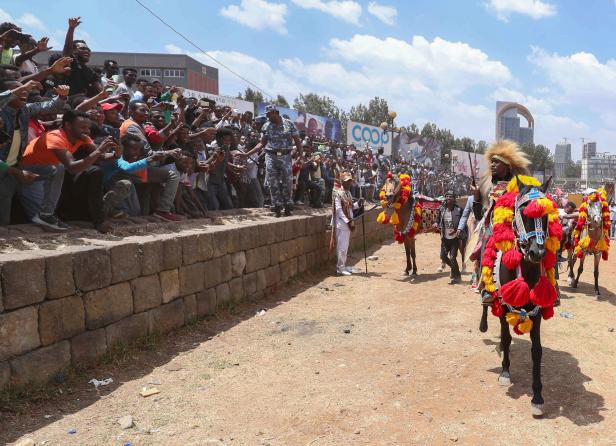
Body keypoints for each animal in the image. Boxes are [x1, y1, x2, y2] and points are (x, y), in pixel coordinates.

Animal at [478, 175, 560, 418]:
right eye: (523, 212)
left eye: (546, 214)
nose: (537, 252)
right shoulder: (504, 306)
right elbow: (506, 338)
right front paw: (505, 372)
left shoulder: (537, 311)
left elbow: (537, 351)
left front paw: (538, 398)